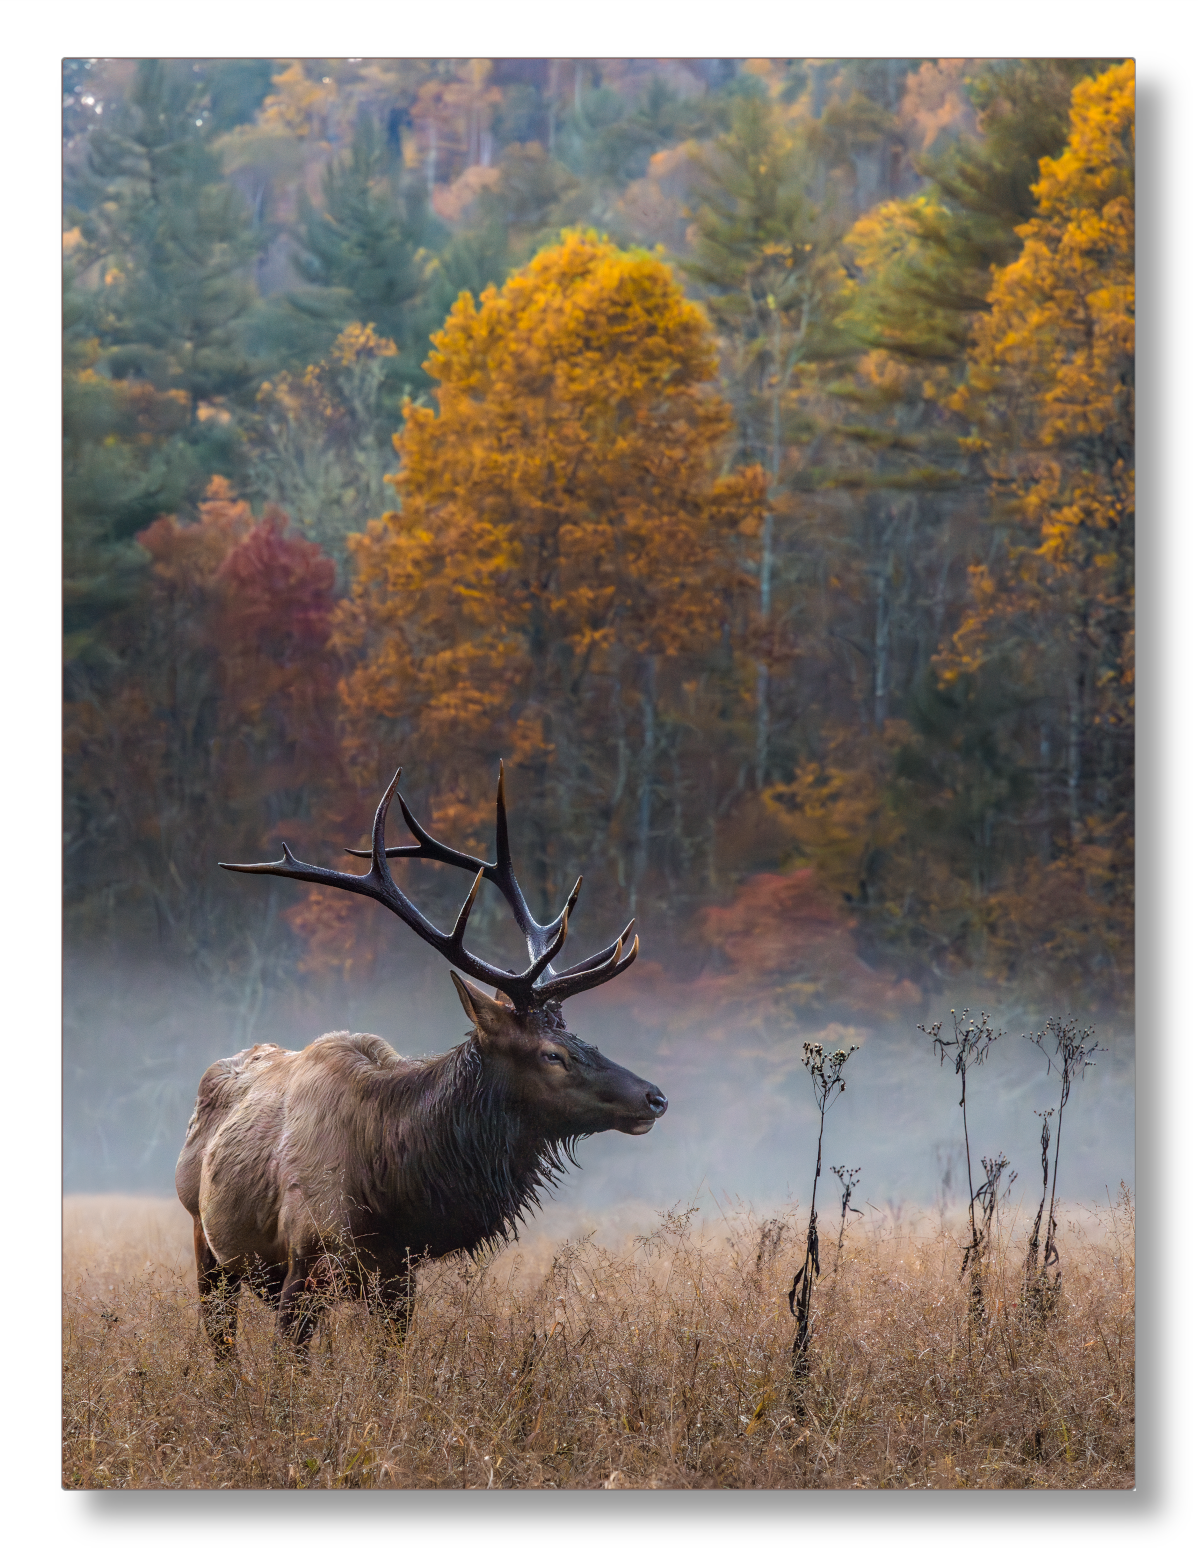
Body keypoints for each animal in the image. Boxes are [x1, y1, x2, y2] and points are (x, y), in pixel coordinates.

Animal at [175, 767, 665, 1360]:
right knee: (220, 1342)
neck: (391, 1192)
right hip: (208, 1242)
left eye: (577, 1037)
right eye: (553, 1054)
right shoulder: (307, 1261)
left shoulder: (397, 1278)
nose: (654, 1097)